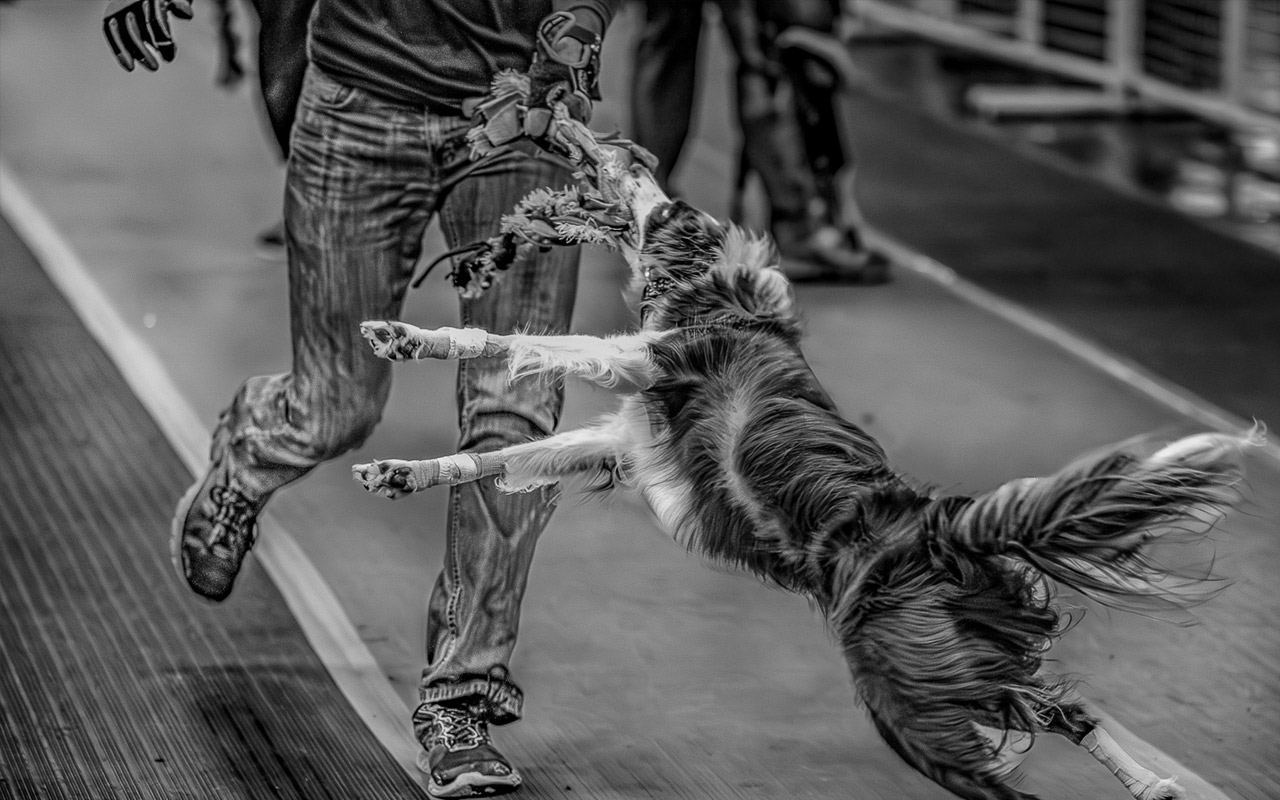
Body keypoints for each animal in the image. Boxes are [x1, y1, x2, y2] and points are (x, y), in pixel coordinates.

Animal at [348, 87, 1249, 798]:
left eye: (624, 161)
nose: (569, 119)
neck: (718, 293)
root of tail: (940, 529)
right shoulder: (617, 442)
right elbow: (495, 457)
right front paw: (398, 469)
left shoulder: (636, 362)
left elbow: (507, 342)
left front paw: (405, 335)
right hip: (968, 666)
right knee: (1068, 707)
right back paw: (1155, 782)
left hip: (907, 699)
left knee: (1014, 765)